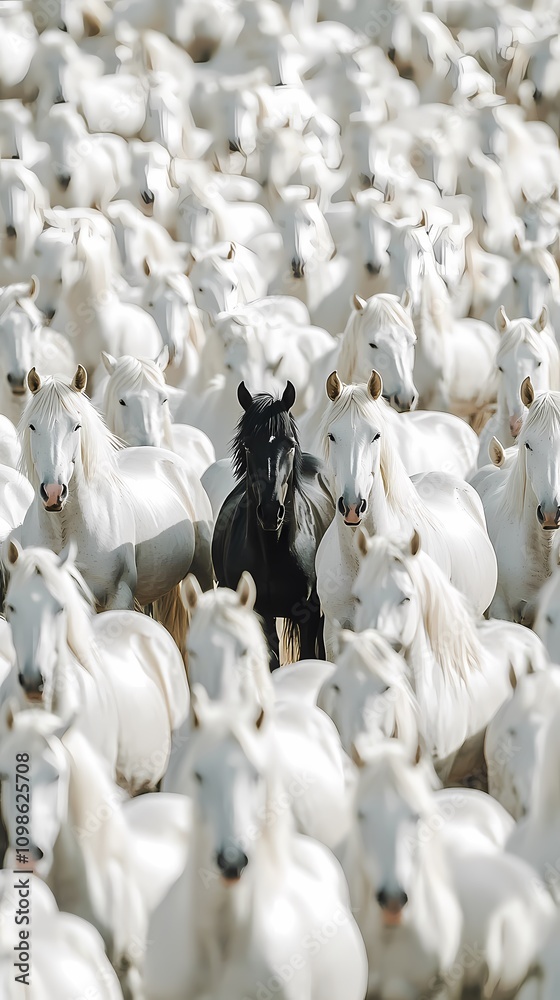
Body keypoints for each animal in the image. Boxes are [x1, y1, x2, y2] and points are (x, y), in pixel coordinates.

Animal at [16, 368, 213, 648]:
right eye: (33, 426)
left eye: (76, 426)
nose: (53, 493)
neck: (67, 532)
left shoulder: (119, 597)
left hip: (204, 573)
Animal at [212, 381, 334, 668]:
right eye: (247, 446)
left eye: (289, 445)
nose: (270, 512)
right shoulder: (259, 612)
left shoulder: (310, 614)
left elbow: (308, 657)